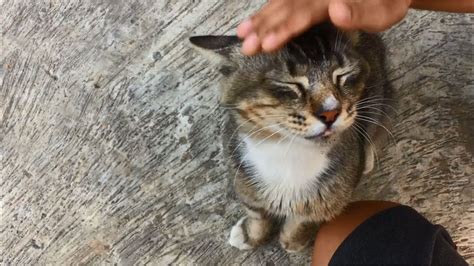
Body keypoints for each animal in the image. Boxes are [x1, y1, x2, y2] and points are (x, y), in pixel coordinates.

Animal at [189, 21, 392, 252]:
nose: (331, 112)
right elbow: (256, 214)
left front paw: (293, 241)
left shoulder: (328, 198)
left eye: (342, 75)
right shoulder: (242, 178)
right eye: (289, 84)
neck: (287, 151)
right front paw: (251, 234)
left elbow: (304, 220)